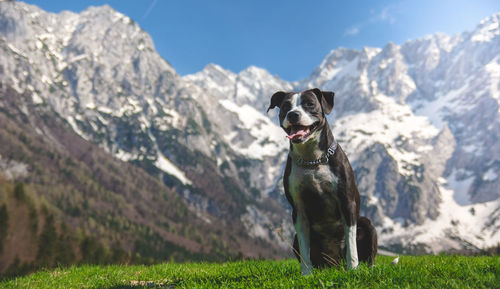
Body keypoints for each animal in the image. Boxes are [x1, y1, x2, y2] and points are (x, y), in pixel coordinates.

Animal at [268, 88, 376, 274]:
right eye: (286, 106)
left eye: (309, 104)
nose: (293, 114)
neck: (312, 160)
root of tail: (335, 263)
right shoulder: (299, 210)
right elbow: (305, 248)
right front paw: (306, 275)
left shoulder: (347, 203)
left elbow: (351, 242)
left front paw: (353, 269)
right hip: (296, 240)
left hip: (367, 224)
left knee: (369, 255)